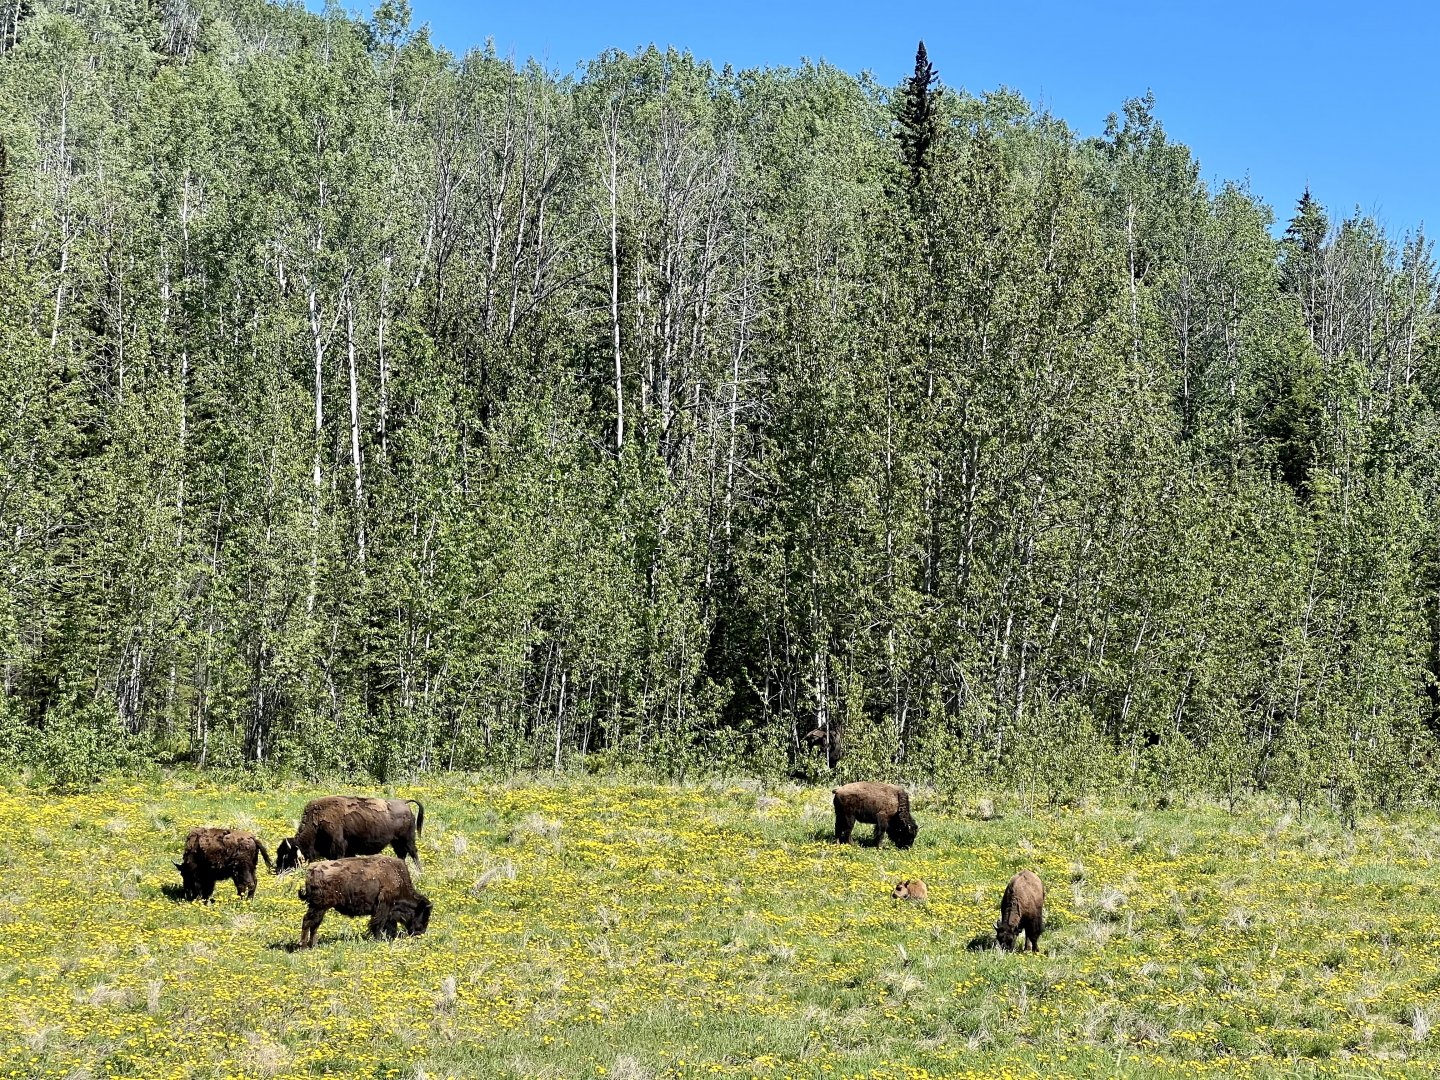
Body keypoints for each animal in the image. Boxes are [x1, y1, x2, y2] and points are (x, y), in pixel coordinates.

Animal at [275, 796, 424, 873]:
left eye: (287, 855)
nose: (278, 870)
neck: (317, 822)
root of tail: (404, 803)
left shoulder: (338, 847)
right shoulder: (348, 850)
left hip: (407, 839)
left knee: (413, 853)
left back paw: (420, 872)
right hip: (396, 842)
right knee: (402, 855)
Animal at [297, 856, 432, 948]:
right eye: (424, 916)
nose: (420, 933)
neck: (397, 878)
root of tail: (312, 870)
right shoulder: (384, 906)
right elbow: (378, 925)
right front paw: (379, 940)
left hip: (319, 908)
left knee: (314, 924)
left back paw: (313, 945)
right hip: (319, 907)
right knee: (308, 922)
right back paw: (304, 947)